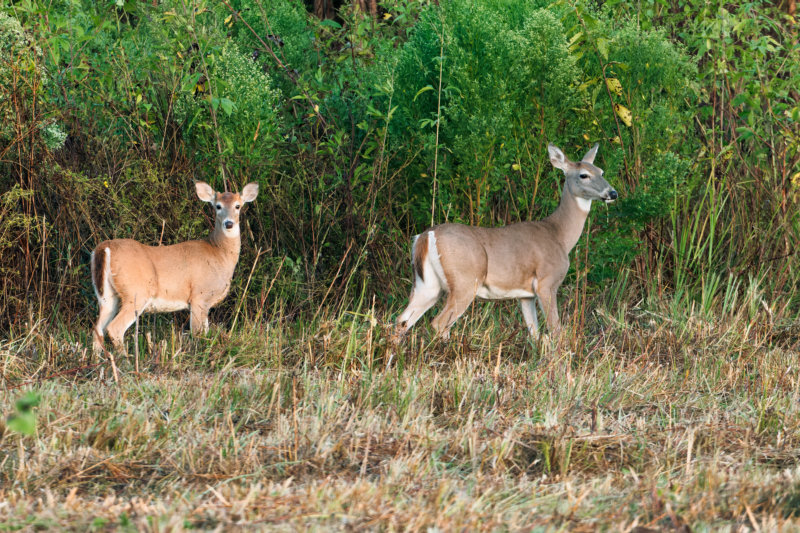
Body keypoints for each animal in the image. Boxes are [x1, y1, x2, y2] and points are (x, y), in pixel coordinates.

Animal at [90, 181, 259, 353]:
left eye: (238, 206)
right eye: (218, 206)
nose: (229, 223)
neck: (219, 253)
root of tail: (104, 248)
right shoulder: (199, 295)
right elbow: (197, 334)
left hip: (107, 295)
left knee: (97, 329)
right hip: (136, 292)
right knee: (114, 328)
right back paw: (126, 358)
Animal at [395, 143, 617, 340]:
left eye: (601, 171)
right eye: (584, 175)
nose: (612, 193)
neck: (560, 235)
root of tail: (426, 236)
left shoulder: (526, 295)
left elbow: (535, 334)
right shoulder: (547, 282)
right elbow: (555, 330)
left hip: (427, 285)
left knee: (402, 320)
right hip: (464, 282)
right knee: (438, 323)